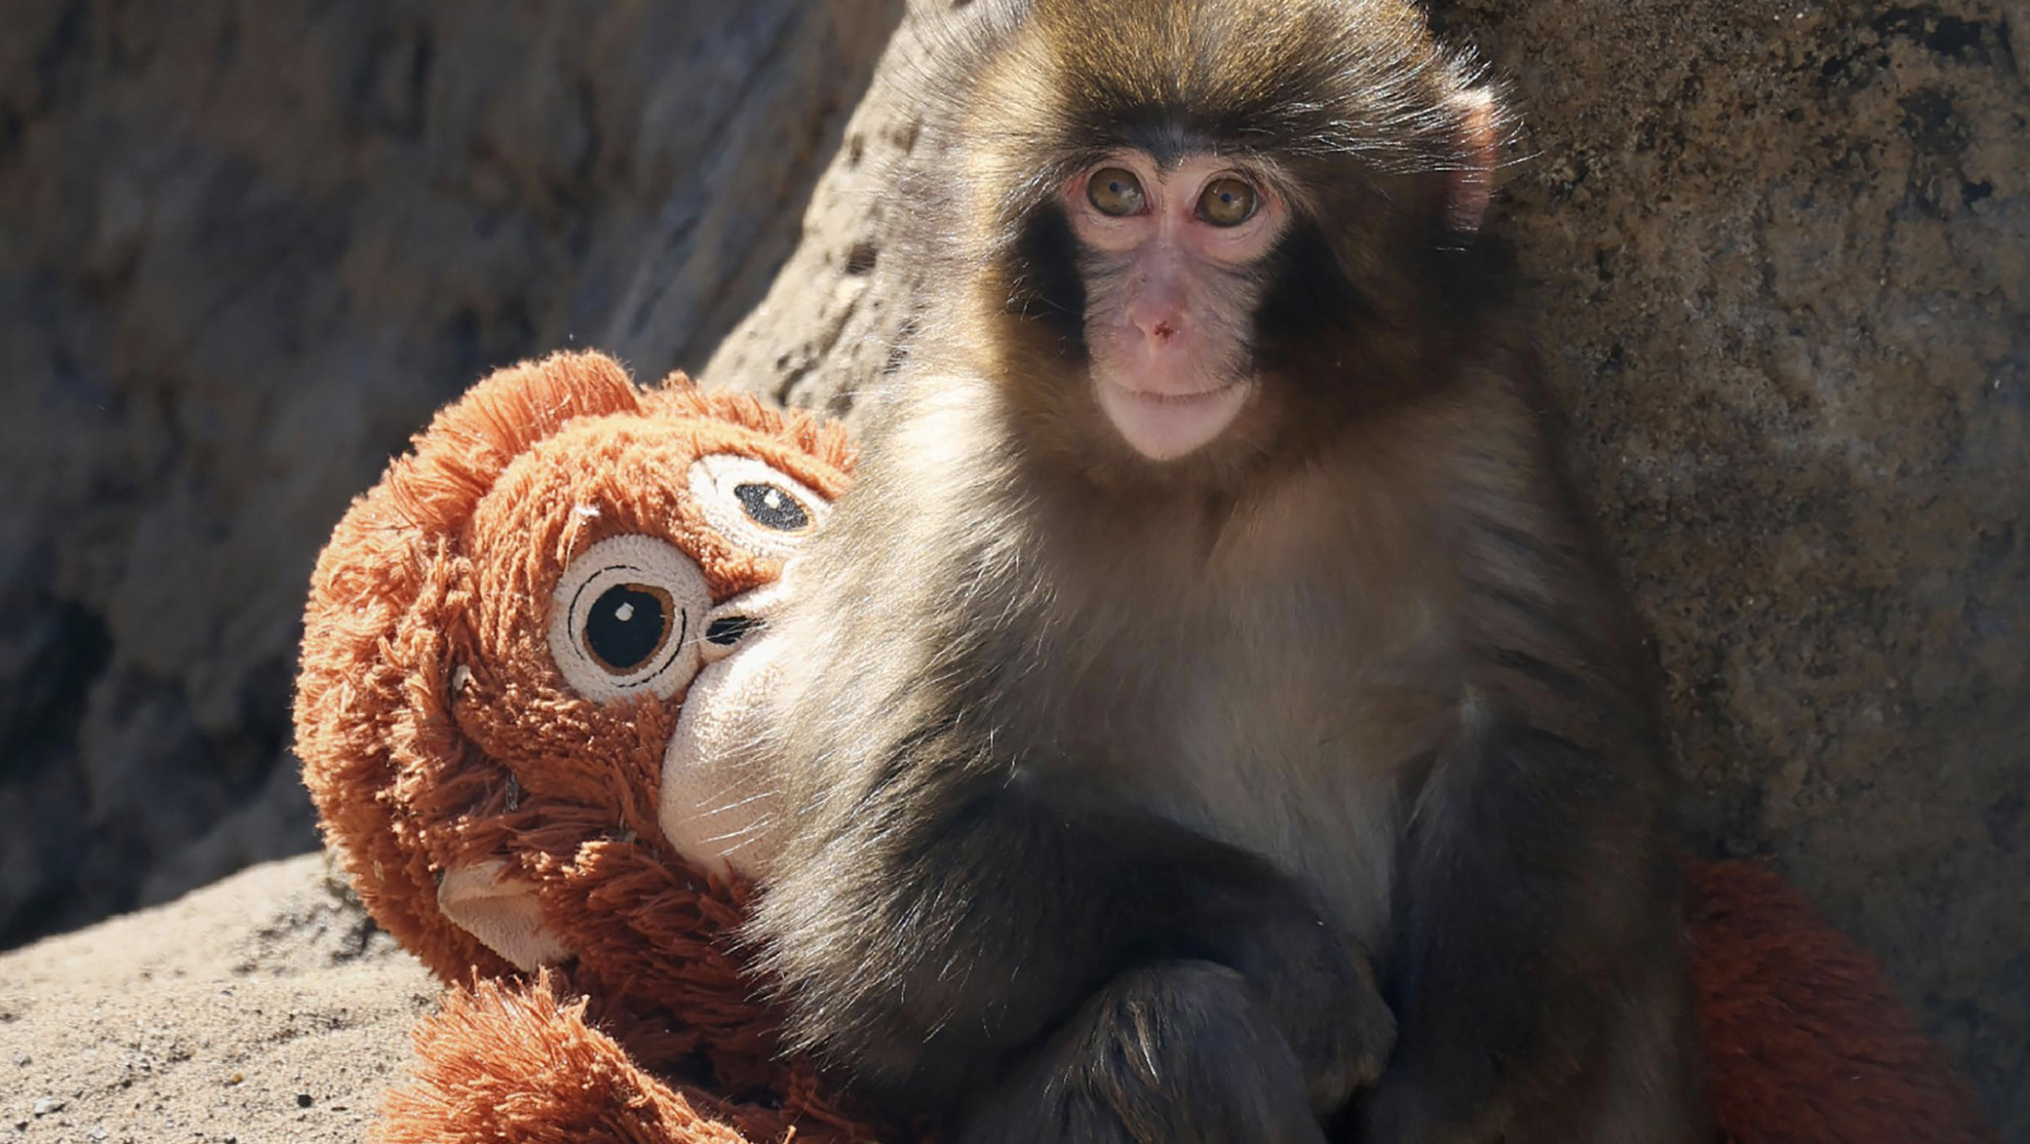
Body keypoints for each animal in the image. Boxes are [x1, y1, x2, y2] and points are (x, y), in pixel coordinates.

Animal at [745, 1, 1710, 1142]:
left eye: (1227, 203)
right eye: (1115, 194)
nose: (1155, 321)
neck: (1221, 485)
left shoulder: (1478, 421)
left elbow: (1545, 746)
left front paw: (1428, 1103)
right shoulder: (953, 485)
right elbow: (884, 891)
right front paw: (1297, 959)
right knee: (1179, 1027)